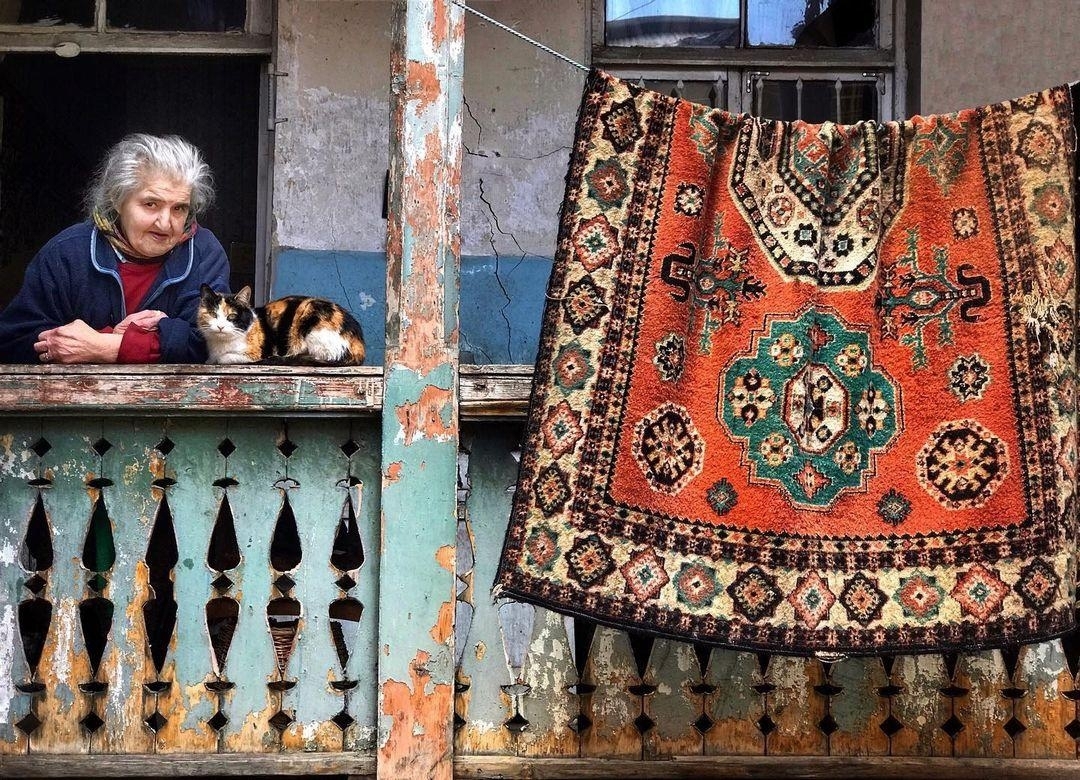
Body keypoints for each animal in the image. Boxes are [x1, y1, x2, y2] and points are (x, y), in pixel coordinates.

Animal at [193, 285, 362, 365]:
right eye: (213, 314)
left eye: (232, 316)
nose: (220, 327)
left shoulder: (255, 354)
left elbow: (224, 358)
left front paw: (219, 358)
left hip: (310, 318)